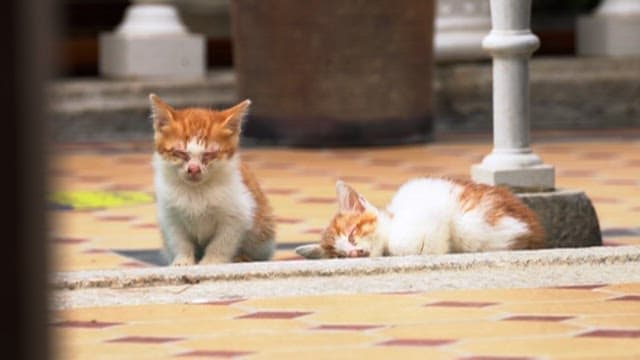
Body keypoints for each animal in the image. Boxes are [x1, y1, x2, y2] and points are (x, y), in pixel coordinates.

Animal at [150, 94, 276, 266]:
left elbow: (222, 242)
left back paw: (242, 258)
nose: (194, 169)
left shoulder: (238, 213)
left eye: (209, 154)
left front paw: (211, 262)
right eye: (180, 153)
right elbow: (179, 240)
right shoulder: (170, 214)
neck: (197, 191)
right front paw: (183, 260)